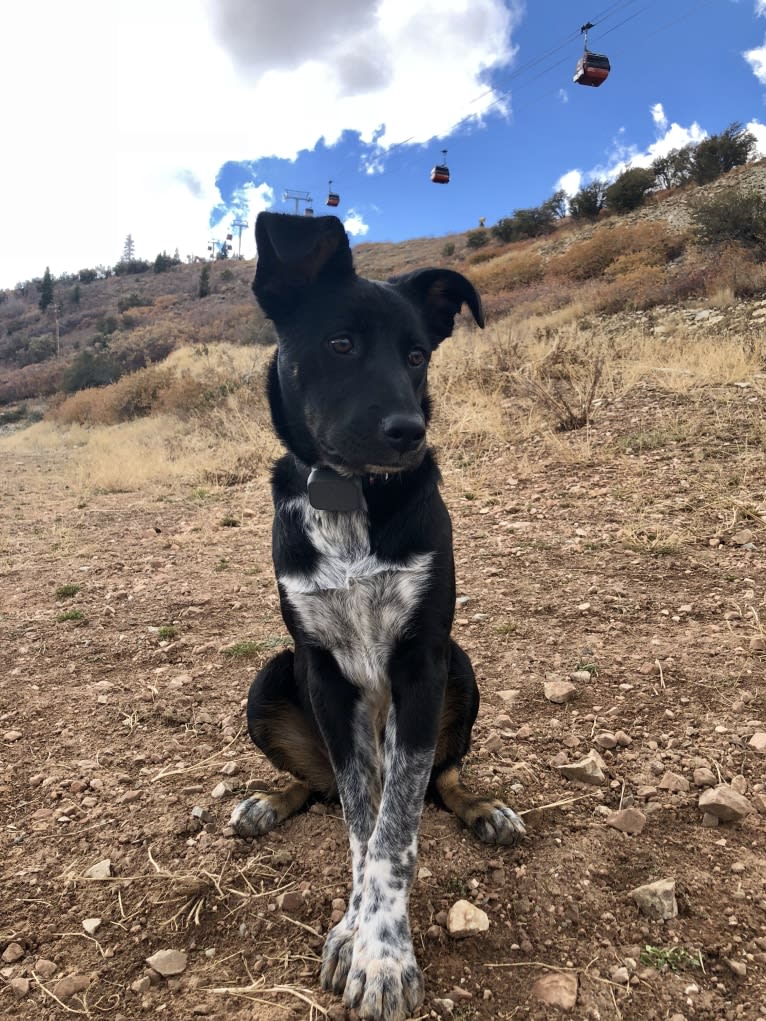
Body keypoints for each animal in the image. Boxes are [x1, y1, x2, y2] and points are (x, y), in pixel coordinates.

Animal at [230, 213, 527, 1021]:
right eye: (340, 344)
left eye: (417, 354)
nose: (408, 430)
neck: (351, 494)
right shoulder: (325, 673)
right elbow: (363, 829)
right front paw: (353, 934)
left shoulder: (421, 664)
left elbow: (396, 831)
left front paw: (385, 956)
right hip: (270, 679)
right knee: (322, 787)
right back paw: (267, 802)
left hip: (462, 667)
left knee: (439, 777)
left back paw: (483, 807)